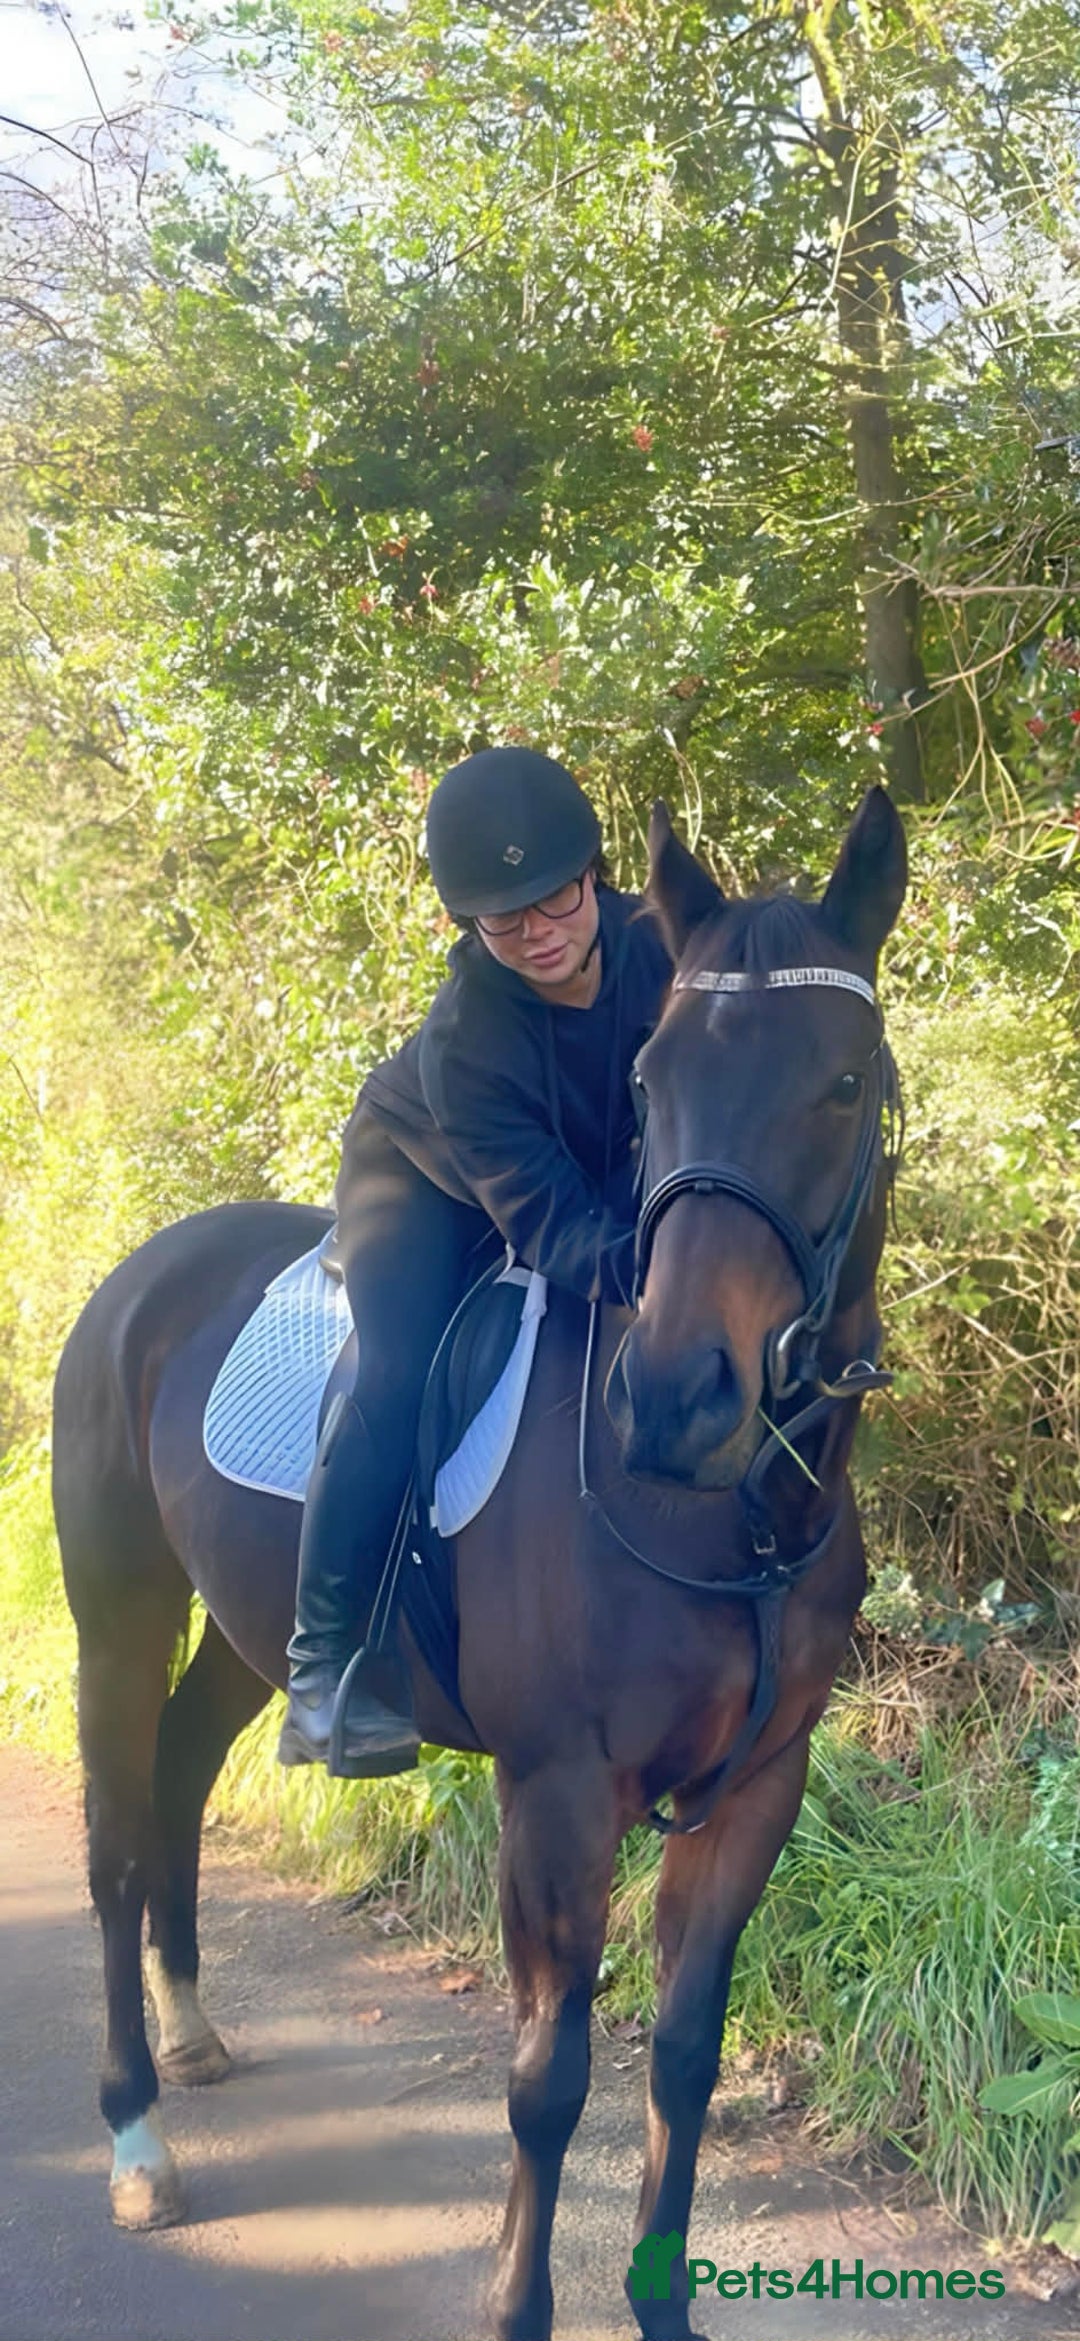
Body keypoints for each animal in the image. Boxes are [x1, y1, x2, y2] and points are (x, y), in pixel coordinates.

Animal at [52, 785, 906, 2341]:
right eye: (651, 1081)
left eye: (843, 1081)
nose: (675, 1398)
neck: (729, 1515)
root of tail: (144, 1275)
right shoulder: (556, 1796)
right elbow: (548, 2078)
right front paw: (518, 2306)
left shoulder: (761, 1787)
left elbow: (683, 2056)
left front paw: (664, 2309)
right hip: (119, 1620)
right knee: (114, 1844)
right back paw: (138, 2136)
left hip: (246, 1635)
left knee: (184, 1778)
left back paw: (196, 2034)